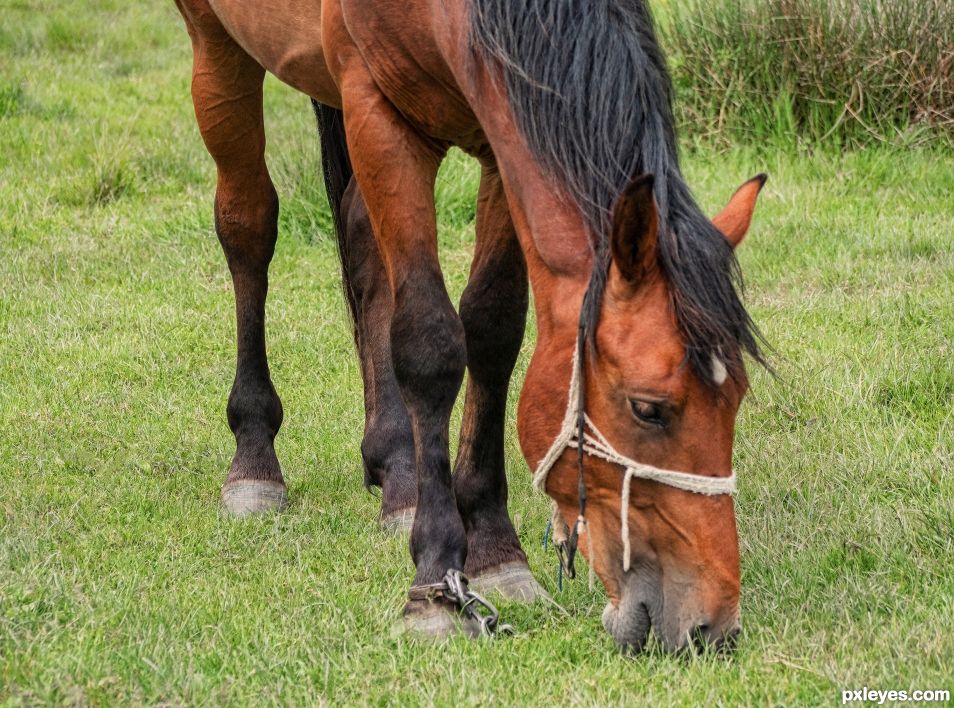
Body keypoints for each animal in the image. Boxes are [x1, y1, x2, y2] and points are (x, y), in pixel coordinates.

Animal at [171, 0, 768, 652]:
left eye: (737, 400)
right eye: (649, 409)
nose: (709, 626)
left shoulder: (499, 135)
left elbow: (492, 330)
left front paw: (494, 551)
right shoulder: (379, 116)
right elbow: (429, 344)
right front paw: (435, 584)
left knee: (360, 236)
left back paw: (398, 476)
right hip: (217, 44)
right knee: (248, 225)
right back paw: (254, 460)